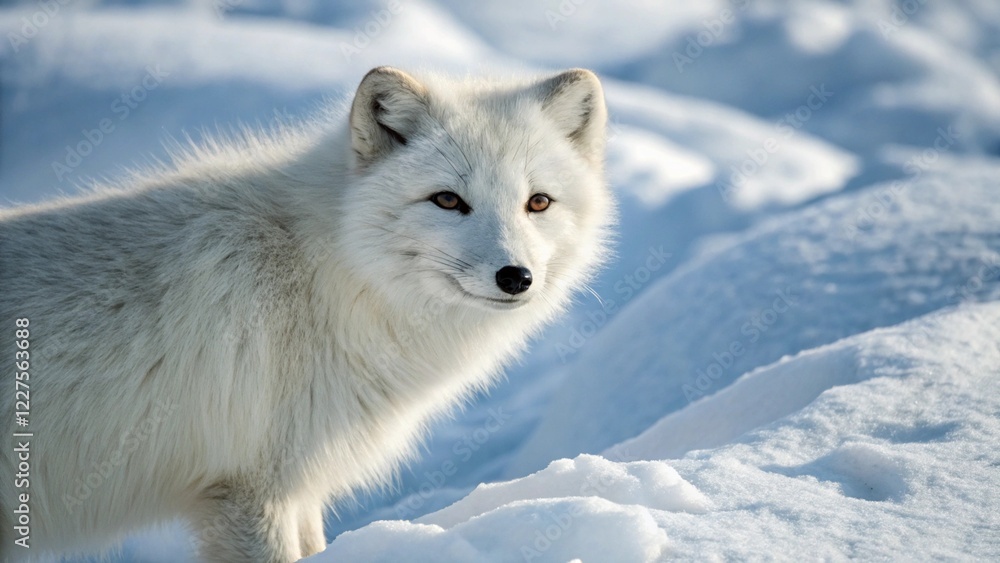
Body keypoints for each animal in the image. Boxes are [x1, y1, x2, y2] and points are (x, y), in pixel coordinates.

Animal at [0, 66, 613, 561]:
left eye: (538, 202)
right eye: (447, 200)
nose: (516, 277)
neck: (328, 270)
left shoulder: (297, 484)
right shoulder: (250, 489)